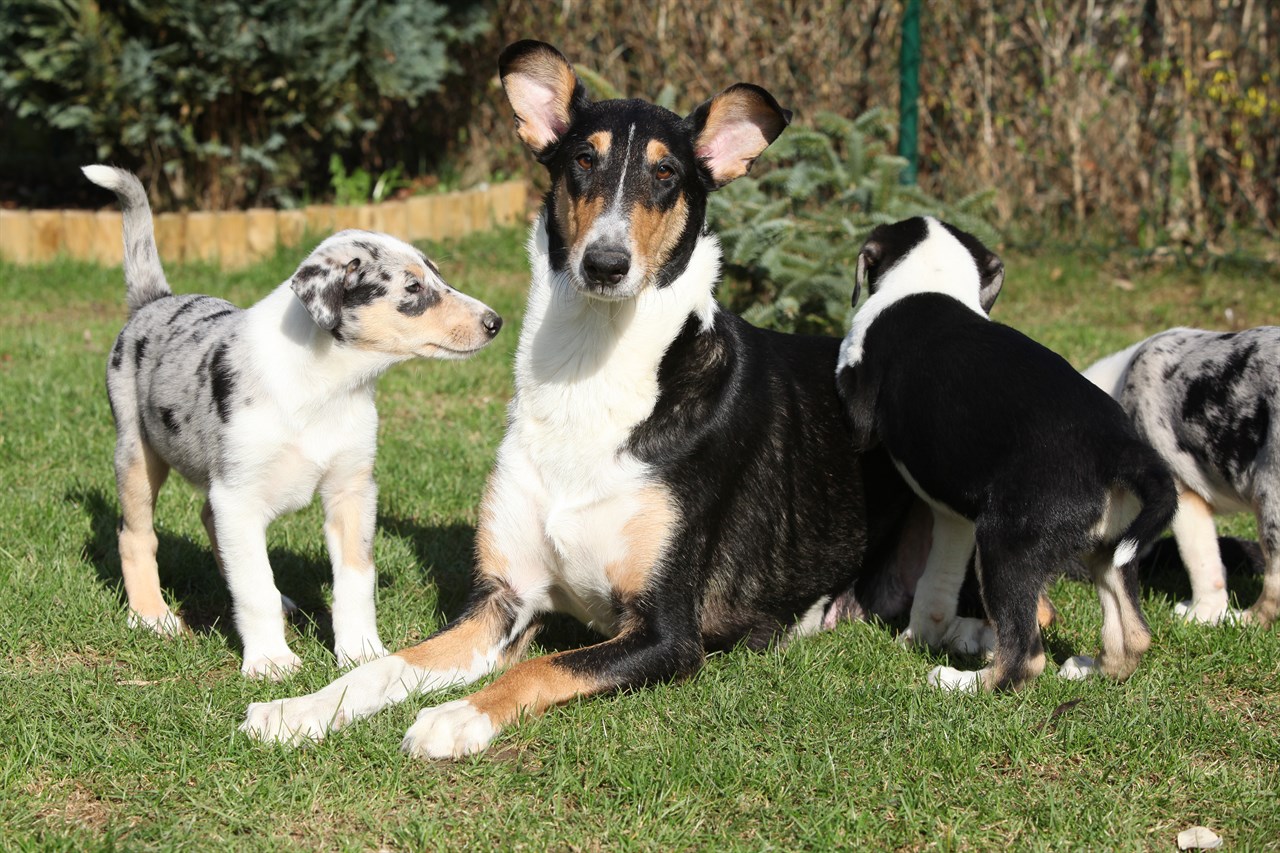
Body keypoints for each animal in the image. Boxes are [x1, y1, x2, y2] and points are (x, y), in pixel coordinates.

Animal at [86, 162, 499, 676]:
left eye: (438, 277)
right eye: (413, 288)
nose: (496, 321)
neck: (326, 387)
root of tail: (153, 301)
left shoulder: (352, 490)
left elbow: (355, 581)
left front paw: (361, 652)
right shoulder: (239, 496)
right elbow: (253, 585)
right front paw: (270, 661)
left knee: (209, 522)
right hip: (137, 453)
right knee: (136, 534)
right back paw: (151, 616)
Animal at [834, 213, 1172, 691]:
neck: (931, 281)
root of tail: (1122, 450)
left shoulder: (859, 402)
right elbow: (933, 589)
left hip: (1005, 546)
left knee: (1024, 657)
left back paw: (958, 682)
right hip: (1110, 547)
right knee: (1133, 635)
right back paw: (1086, 670)